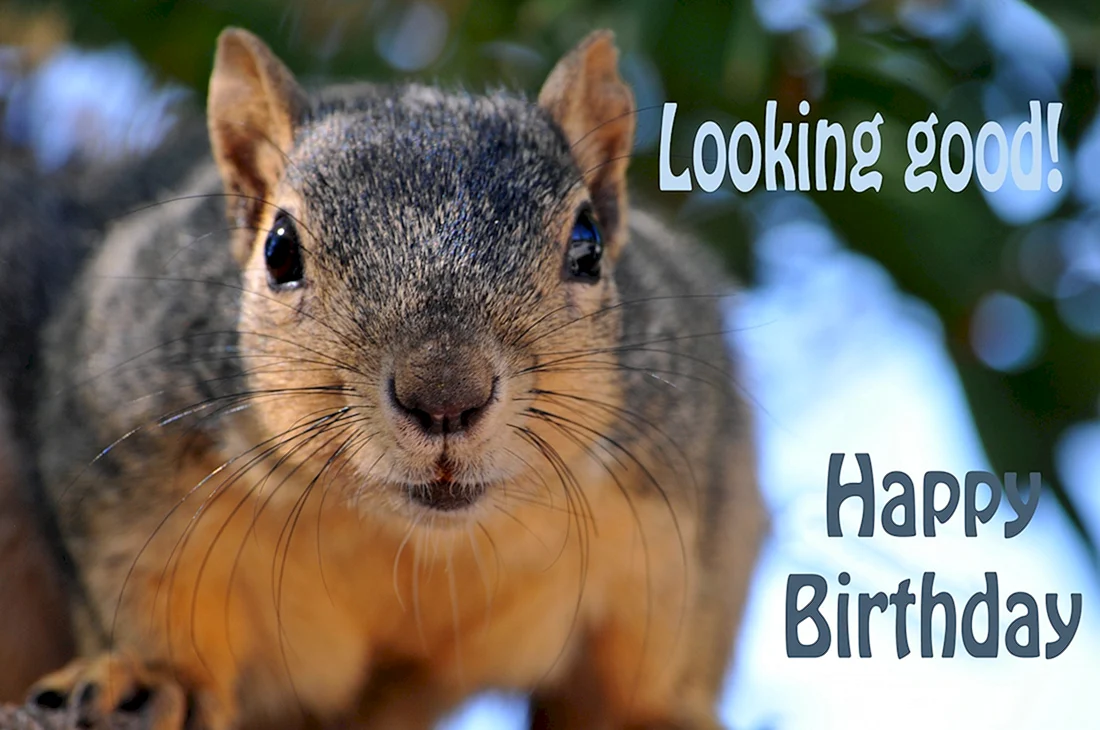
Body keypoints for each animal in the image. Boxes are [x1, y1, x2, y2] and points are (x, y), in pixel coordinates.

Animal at [11, 26, 766, 730]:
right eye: (278, 251)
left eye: (589, 245)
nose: (445, 396)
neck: (411, 542)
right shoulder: (133, 459)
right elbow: (151, 595)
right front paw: (158, 675)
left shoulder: (673, 518)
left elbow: (631, 670)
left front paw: (648, 712)